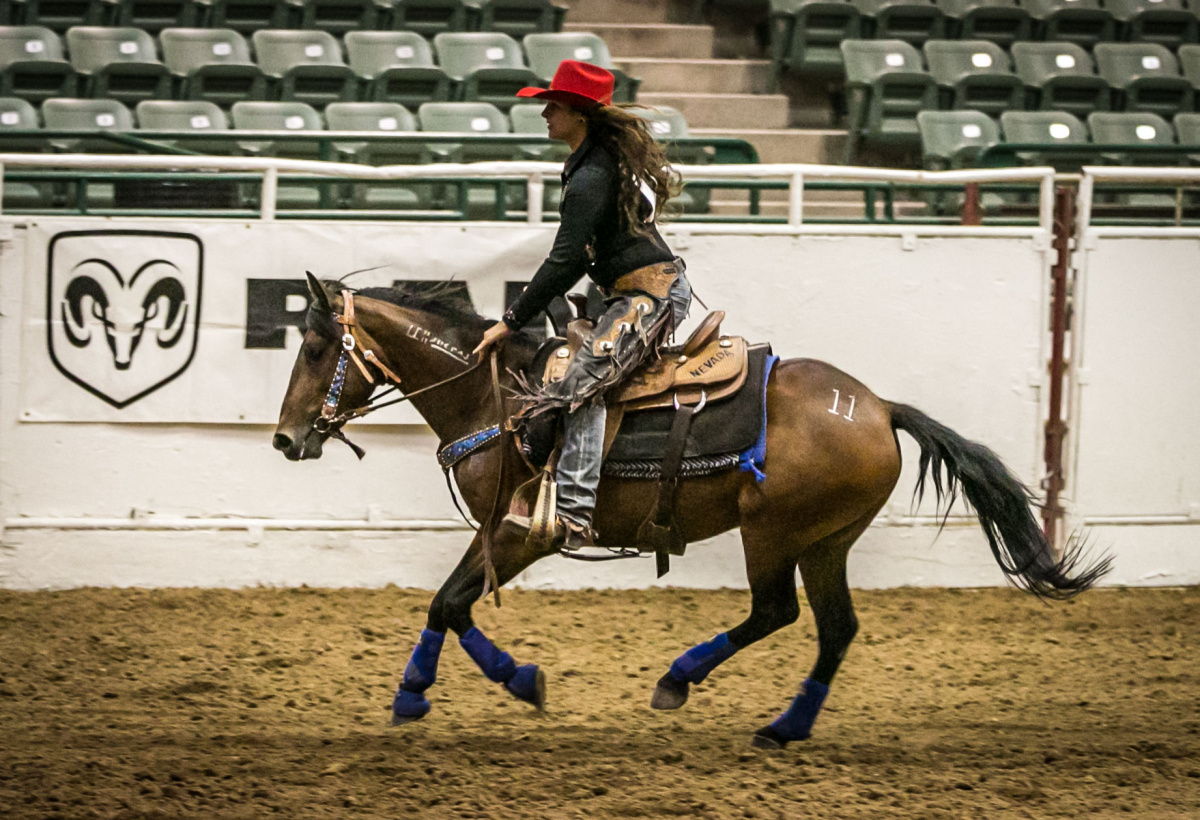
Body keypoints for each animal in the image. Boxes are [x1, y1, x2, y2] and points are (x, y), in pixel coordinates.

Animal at [276, 277, 1108, 749]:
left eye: (315, 348)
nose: (286, 438)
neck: (501, 399)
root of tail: (876, 407)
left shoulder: (519, 534)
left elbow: (451, 603)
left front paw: (478, 686)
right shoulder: (495, 536)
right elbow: (447, 604)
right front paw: (443, 688)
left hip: (774, 532)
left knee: (777, 612)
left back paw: (680, 679)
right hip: (827, 540)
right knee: (835, 628)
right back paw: (785, 727)